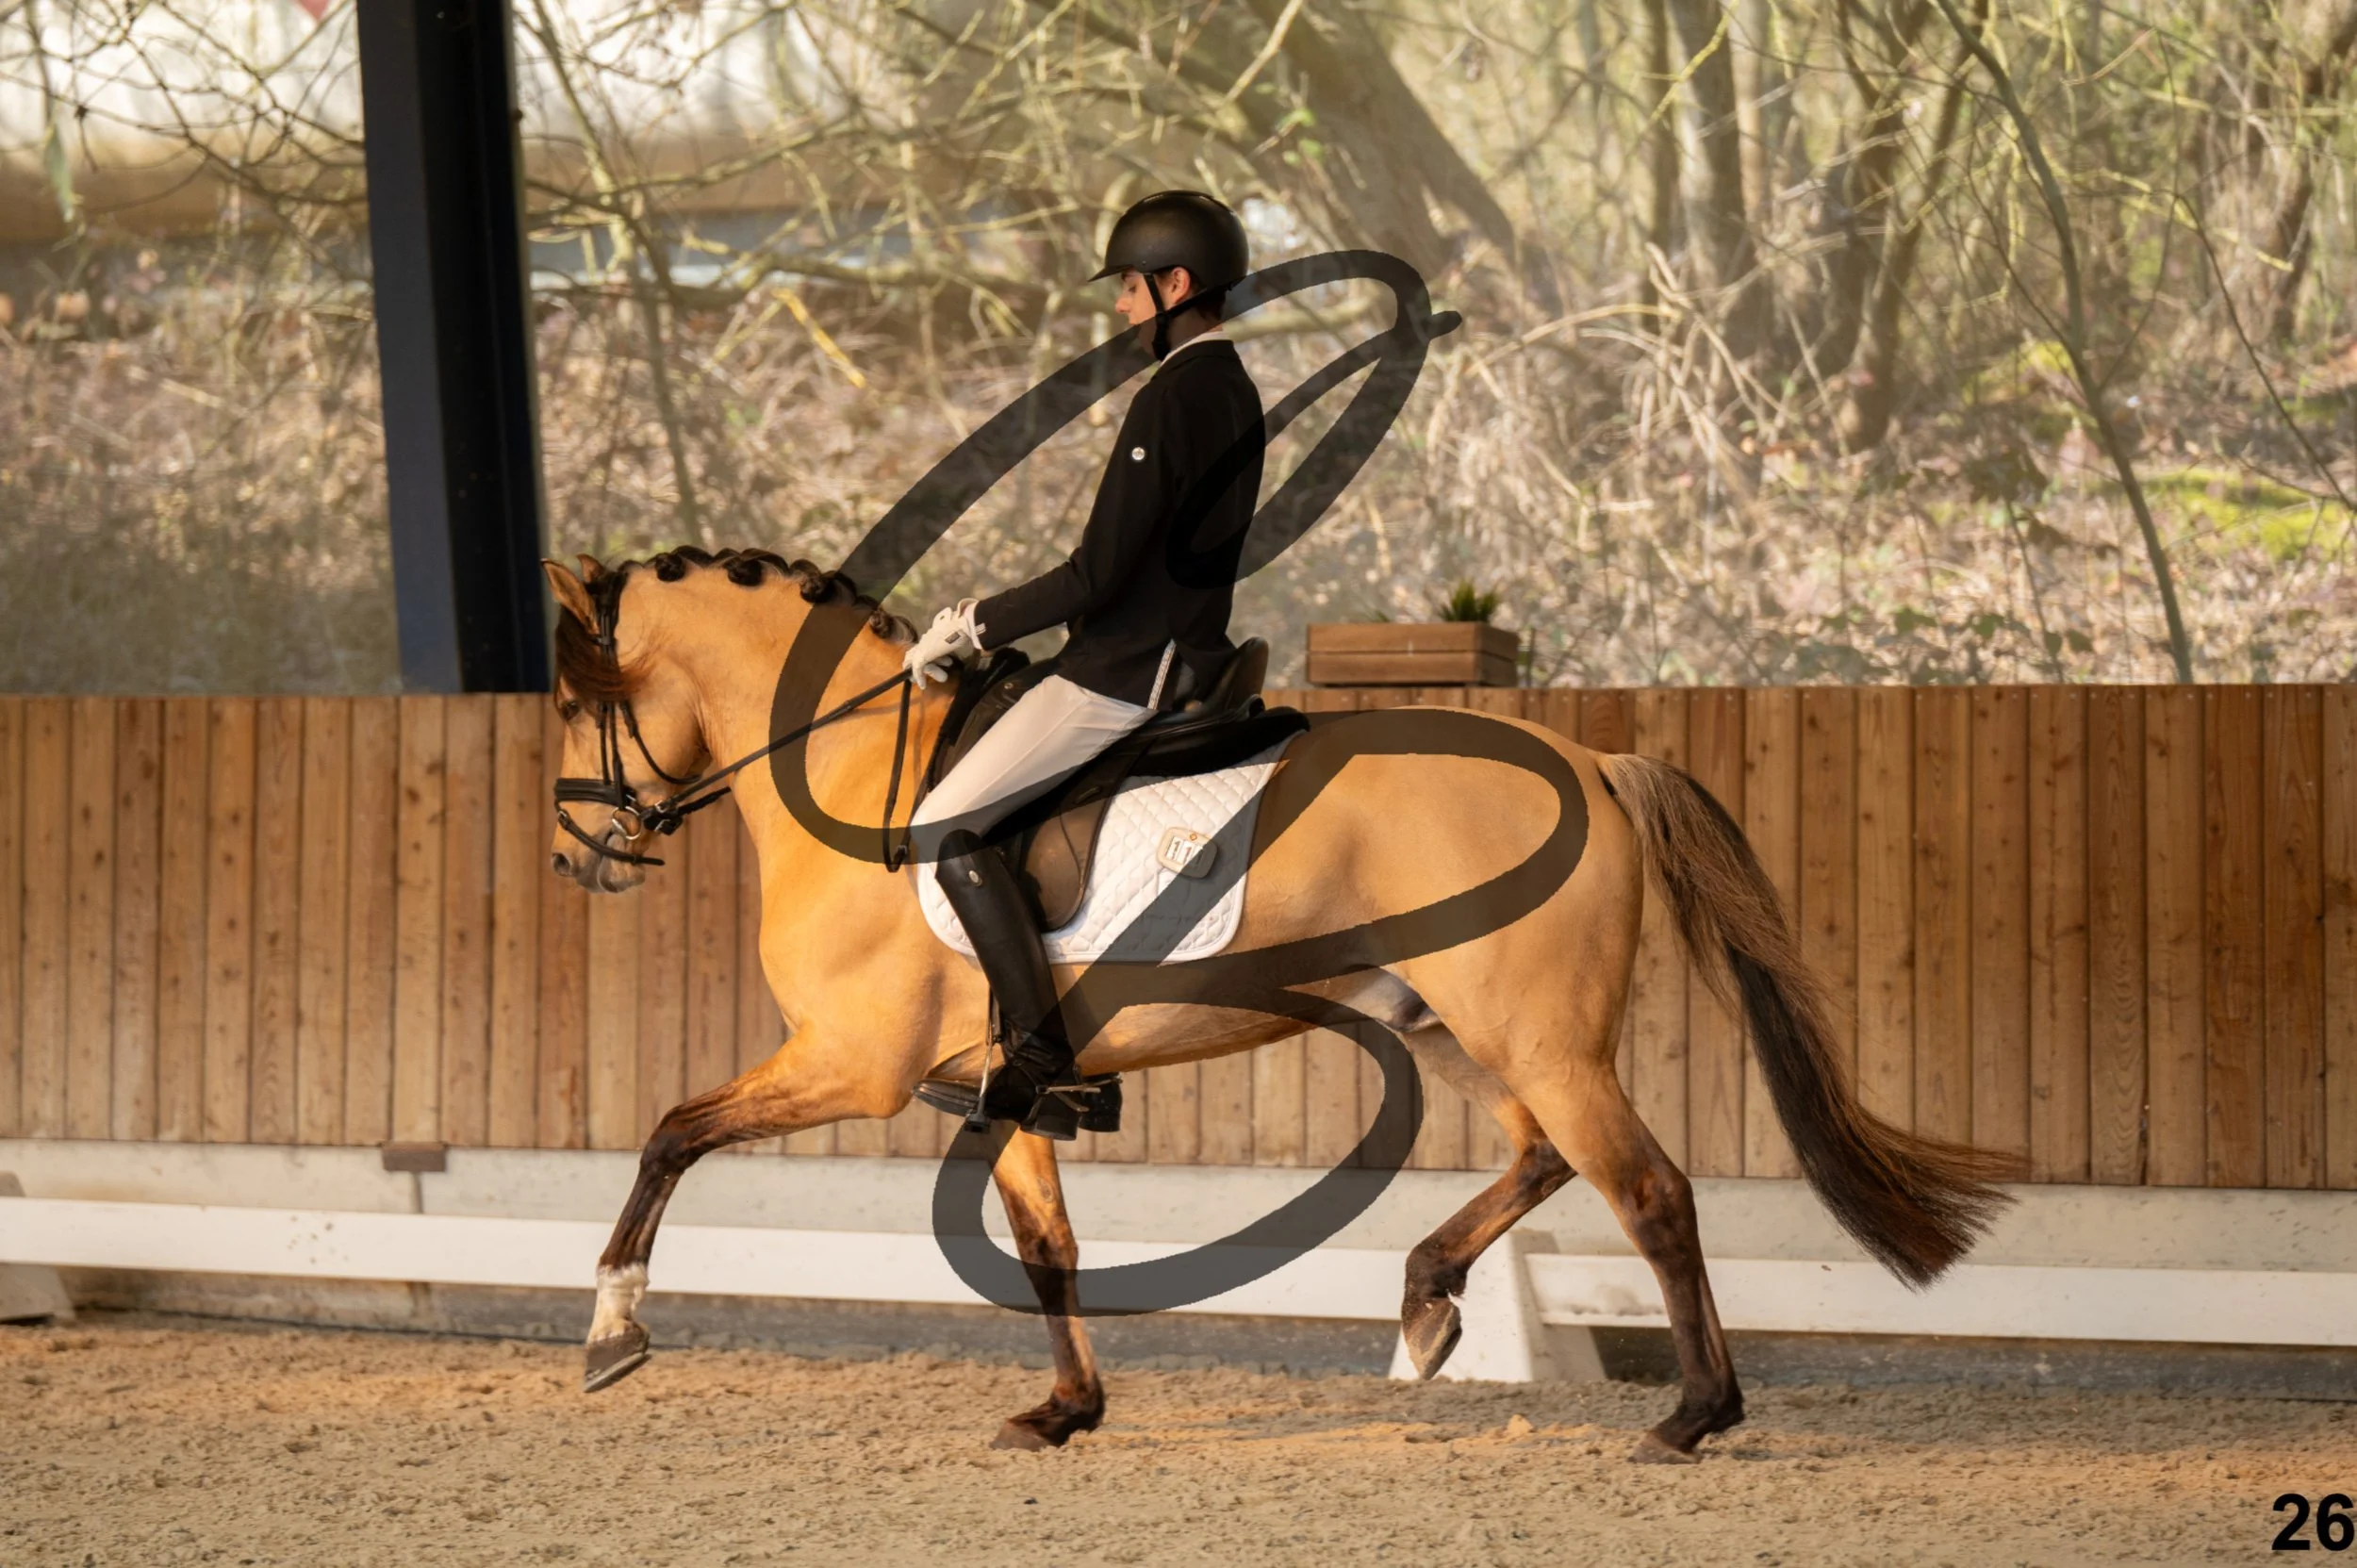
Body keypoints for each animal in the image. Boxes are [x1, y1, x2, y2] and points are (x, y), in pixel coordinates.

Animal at [540, 544, 2010, 1462]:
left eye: (570, 695)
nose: (576, 855)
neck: (852, 769)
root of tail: (1594, 760)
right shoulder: (998, 1080)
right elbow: (1048, 1246)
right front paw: (1065, 1410)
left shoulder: (853, 1062)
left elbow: (671, 1129)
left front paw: (614, 1327)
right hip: (1453, 1027)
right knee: (1543, 1155)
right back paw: (1427, 1301)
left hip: (1531, 1033)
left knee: (1646, 1189)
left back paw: (1693, 1415)